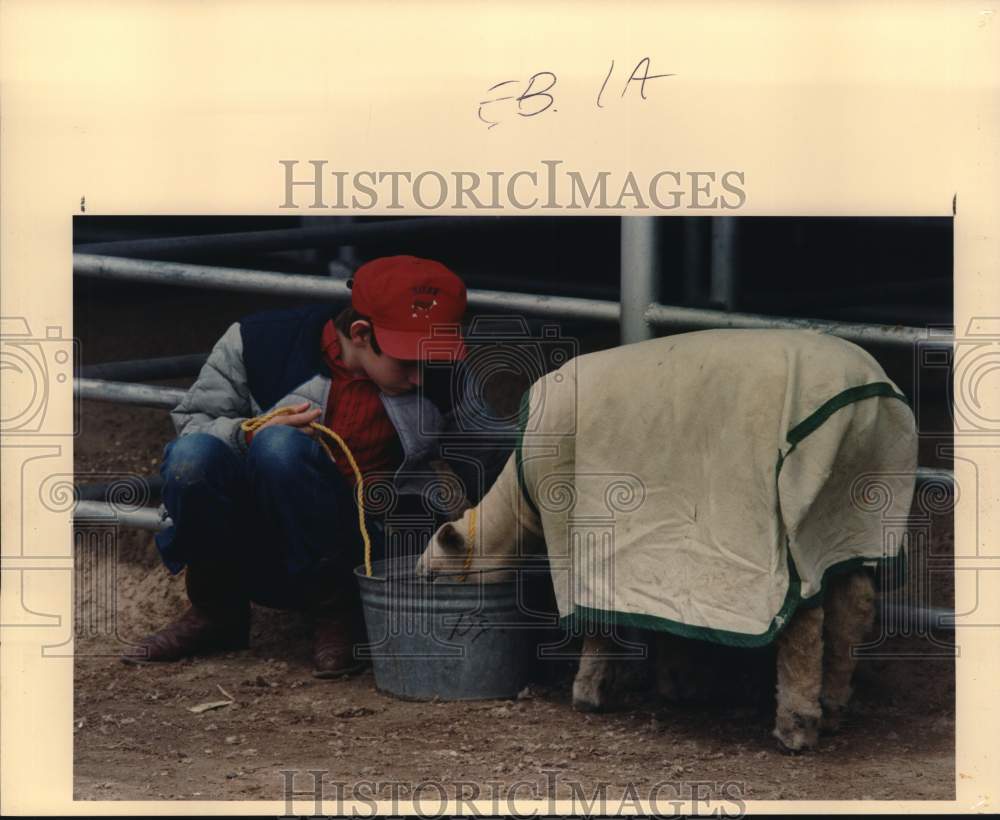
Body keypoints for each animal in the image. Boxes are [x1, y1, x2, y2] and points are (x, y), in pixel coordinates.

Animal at [412, 330, 916, 752]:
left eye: (434, 578)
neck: (520, 504)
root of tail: (861, 403)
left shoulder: (576, 532)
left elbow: (598, 622)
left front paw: (589, 692)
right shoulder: (665, 555)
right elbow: (671, 616)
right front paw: (678, 683)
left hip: (788, 525)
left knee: (804, 621)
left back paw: (797, 727)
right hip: (850, 519)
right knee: (854, 605)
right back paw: (832, 708)